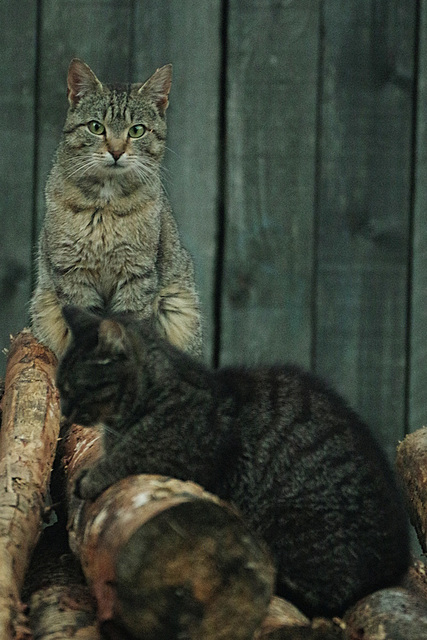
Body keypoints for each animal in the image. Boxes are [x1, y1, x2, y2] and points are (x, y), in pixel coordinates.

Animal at [31, 58, 202, 360]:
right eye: (96, 127)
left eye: (137, 130)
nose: (116, 151)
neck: (105, 206)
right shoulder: (72, 274)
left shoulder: (138, 276)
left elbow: (131, 326)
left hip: (180, 307)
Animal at [56, 306, 412, 620]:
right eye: (59, 389)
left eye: (74, 389)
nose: (64, 412)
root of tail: (394, 568)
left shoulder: (179, 458)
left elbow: (131, 455)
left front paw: (91, 476)